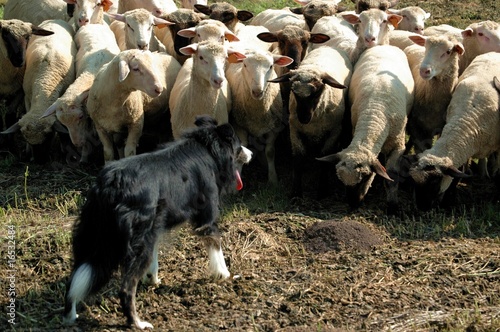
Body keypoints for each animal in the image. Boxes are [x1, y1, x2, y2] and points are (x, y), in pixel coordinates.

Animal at [65, 116, 254, 330]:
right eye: (238, 145)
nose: (251, 153)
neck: (207, 148)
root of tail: (109, 185)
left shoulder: (155, 225)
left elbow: (155, 251)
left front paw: (153, 279)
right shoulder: (207, 208)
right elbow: (214, 241)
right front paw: (225, 275)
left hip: (91, 230)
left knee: (74, 276)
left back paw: (71, 316)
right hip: (132, 236)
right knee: (126, 287)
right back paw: (138, 323)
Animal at [226, 48, 292, 185]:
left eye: (271, 66)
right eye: (245, 65)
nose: (257, 91)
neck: (257, 111)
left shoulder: (274, 128)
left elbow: (270, 151)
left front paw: (273, 179)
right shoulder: (239, 126)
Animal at [270, 45, 352, 198]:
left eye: (317, 91)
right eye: (293, 91)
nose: (303, 118)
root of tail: (328, 46)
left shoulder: (334, 131)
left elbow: (324, 158)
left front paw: (323, 189)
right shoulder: (294, 130)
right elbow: (298, 160)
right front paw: (296, 193)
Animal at [320, 44, 414, 213]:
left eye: (365, 177)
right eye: (341, 181)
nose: (353, 204)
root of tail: (385, 45)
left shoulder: (398, 146)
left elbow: (391, 176)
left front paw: (392, 205)